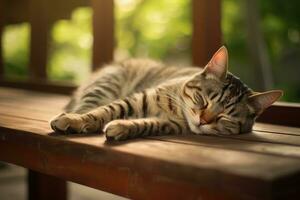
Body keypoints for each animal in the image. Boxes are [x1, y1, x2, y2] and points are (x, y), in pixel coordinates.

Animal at [50, 46, 282, 141]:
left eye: (226, 118)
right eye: (202, 100)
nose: (203, 121)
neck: (178, 113)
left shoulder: (169, 124)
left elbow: (145, 124)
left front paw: (122, 128)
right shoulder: (138, 99)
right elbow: (104, 112)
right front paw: (77, 121)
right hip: (105, 84)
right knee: (86, 106)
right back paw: (70, 118)